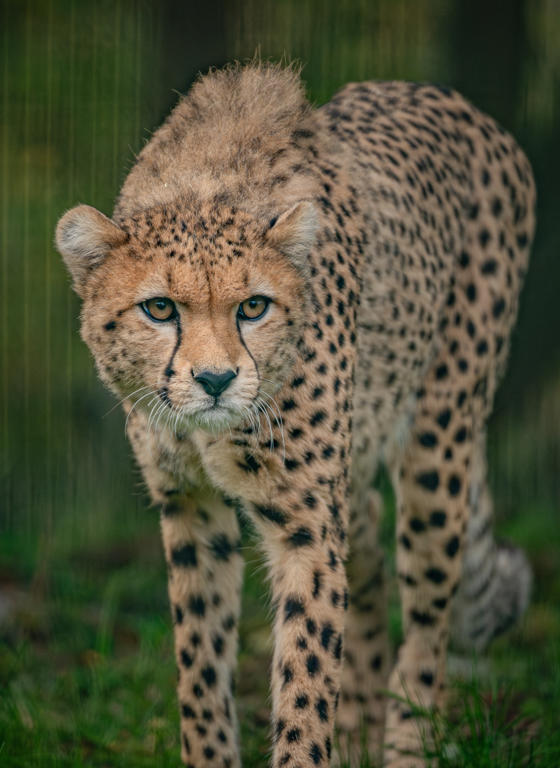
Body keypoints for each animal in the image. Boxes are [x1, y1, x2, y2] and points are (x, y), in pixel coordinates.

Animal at [55, 62, 536, 768]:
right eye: (160, 309)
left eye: (254, 306)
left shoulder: (306, 523)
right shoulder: (190, 507)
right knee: (369, 549)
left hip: (439, 437)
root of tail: (455, 103)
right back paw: (360, 731)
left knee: (426, 620)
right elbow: (201, 668)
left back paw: (405, 739)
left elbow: (307, 674)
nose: (216, 380)